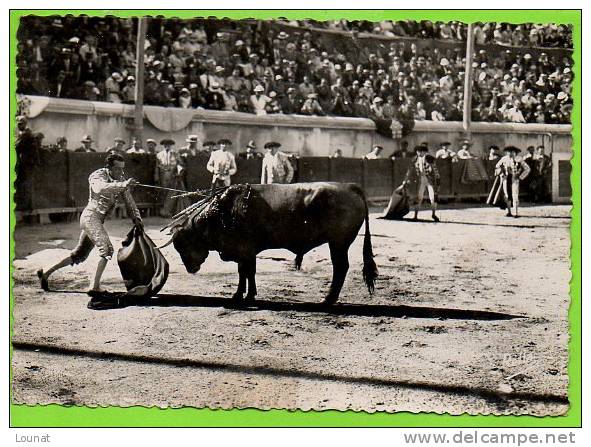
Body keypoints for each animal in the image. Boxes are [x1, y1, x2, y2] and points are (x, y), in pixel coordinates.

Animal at [166, 182, 380, 304]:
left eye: (183, 244)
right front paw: (242, 294)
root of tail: (351, 188)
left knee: (340, 267)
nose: (190, 268)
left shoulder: (245, 250)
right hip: (338, 244)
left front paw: (246, 296)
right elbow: (244, 273)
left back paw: (328, 299)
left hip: (338, 243)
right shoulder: (244, 253)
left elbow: (247, 272)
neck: (223, 212)